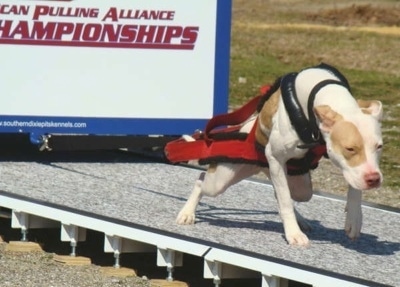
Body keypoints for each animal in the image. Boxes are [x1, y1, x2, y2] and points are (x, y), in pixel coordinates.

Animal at [177, 64, 382, 246]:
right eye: (350, 149)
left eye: (379, 147)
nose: (374, 179)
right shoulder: (276, 157)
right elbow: (284, 201)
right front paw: (293, 234)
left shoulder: (353, 168)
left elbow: (354, 185)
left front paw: (354, 218)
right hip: (222, 179)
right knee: (201, 180)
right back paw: (187, 213)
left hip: (297, 183)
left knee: (287, 193)